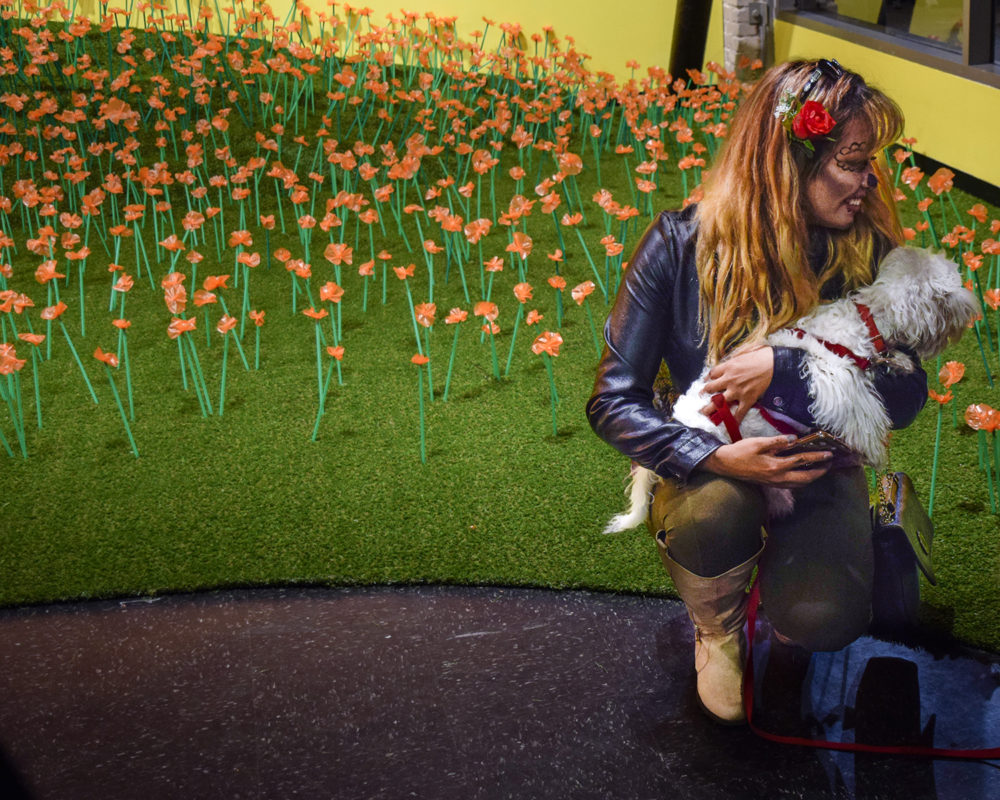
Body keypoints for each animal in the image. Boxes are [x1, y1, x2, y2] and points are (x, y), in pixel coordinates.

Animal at [604, 247, 980, 528]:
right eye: (956, 280)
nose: (973, 307)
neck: (867, 317)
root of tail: (679, 423)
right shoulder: (830, 379)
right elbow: (865, 413)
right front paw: (874, 449)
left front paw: (898, 361)